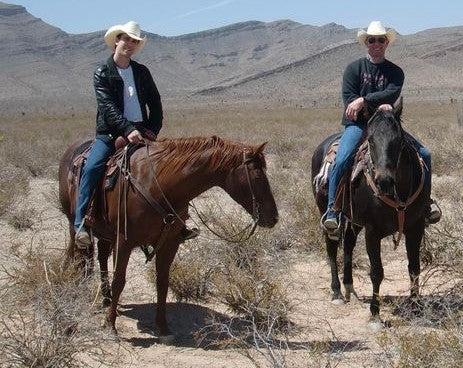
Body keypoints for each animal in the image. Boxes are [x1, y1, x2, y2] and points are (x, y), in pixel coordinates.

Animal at [58, 135, 278, 340]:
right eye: (257, 177)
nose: (273, 217)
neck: (158, 184)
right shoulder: (124, 241)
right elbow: (119, 280)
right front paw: (111, 325)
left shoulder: (170, 243)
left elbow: (163, 282)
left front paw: (163, 328)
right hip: (74, 223)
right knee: (75, 255)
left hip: (105, 233)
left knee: (102, 256)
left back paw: (106, 298)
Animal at [314, 102, 430, 330]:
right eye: (370, 140)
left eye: (399, 139)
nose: (384, 181)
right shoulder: (372, 232)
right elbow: (376, 272)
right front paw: (375, 315)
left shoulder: (416, 227)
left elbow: (414, 267)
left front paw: (416, 307)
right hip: (327, 214)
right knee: (332, 247)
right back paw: (337, 292)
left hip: (354, 220)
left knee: (349, 245)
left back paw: (349, 288)